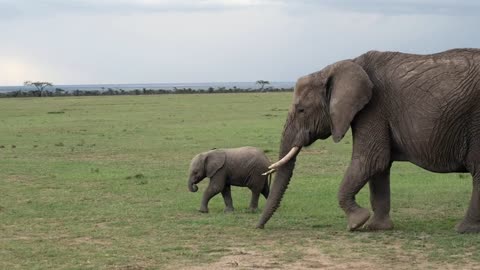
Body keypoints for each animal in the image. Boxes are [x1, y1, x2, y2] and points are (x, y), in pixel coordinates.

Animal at [256, 48, 480, 232]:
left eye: (301, 110)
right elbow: (380, 167)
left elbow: (371, 160)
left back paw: (464, 229)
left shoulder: (373, 108)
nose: (258, 227)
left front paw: (357, 223)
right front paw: (377, 227)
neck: (342, 65)